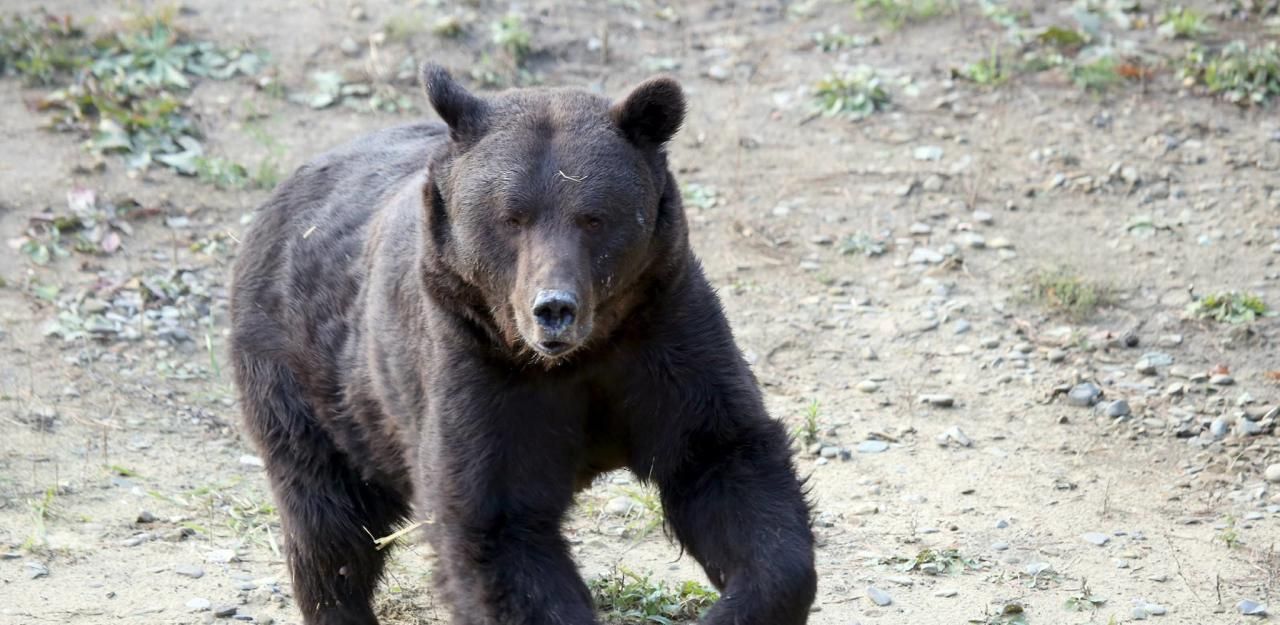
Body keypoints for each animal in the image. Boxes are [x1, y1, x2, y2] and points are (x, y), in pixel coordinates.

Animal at [229, 63, 816, 625]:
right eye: (511, 217)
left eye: (593, 217)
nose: (553, 308)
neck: (578, 357)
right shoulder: (474, 362)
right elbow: (493, 526)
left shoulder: (664, 337)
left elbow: (724, 461)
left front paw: (738, 606)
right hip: (309, 382)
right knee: (330, 523)